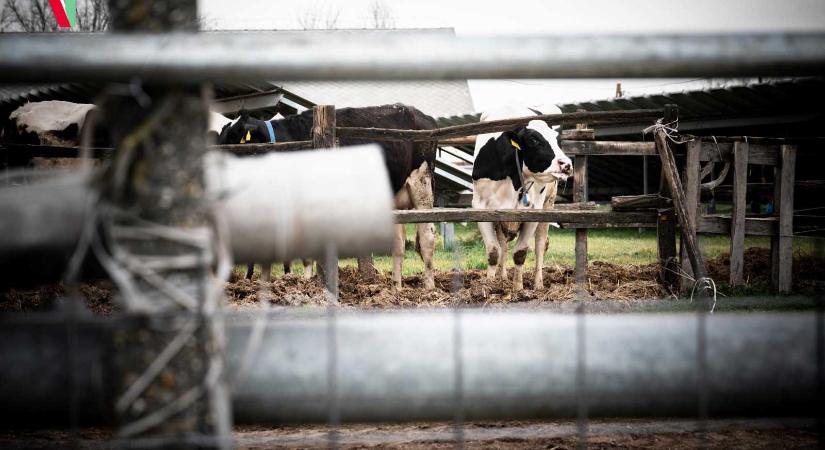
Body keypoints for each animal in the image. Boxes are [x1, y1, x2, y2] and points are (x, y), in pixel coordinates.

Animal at [217, 104, 438, 290]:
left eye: (234, 140)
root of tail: (422, 116)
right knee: (399, 244)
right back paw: (396, 287)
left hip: (422, 184)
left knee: (427, 237)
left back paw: (429, 287)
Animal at [470, 105, 572, 290]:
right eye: (533, 140)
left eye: (557, 140)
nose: (566, 164)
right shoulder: (481, 208)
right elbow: (494, 252)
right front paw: (489, 285)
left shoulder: (532, 212)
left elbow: (520, 252)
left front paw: (518, 288)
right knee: (503, 245)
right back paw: (502, 277)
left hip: (548, 203)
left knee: (541, 245)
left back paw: (538, 284)